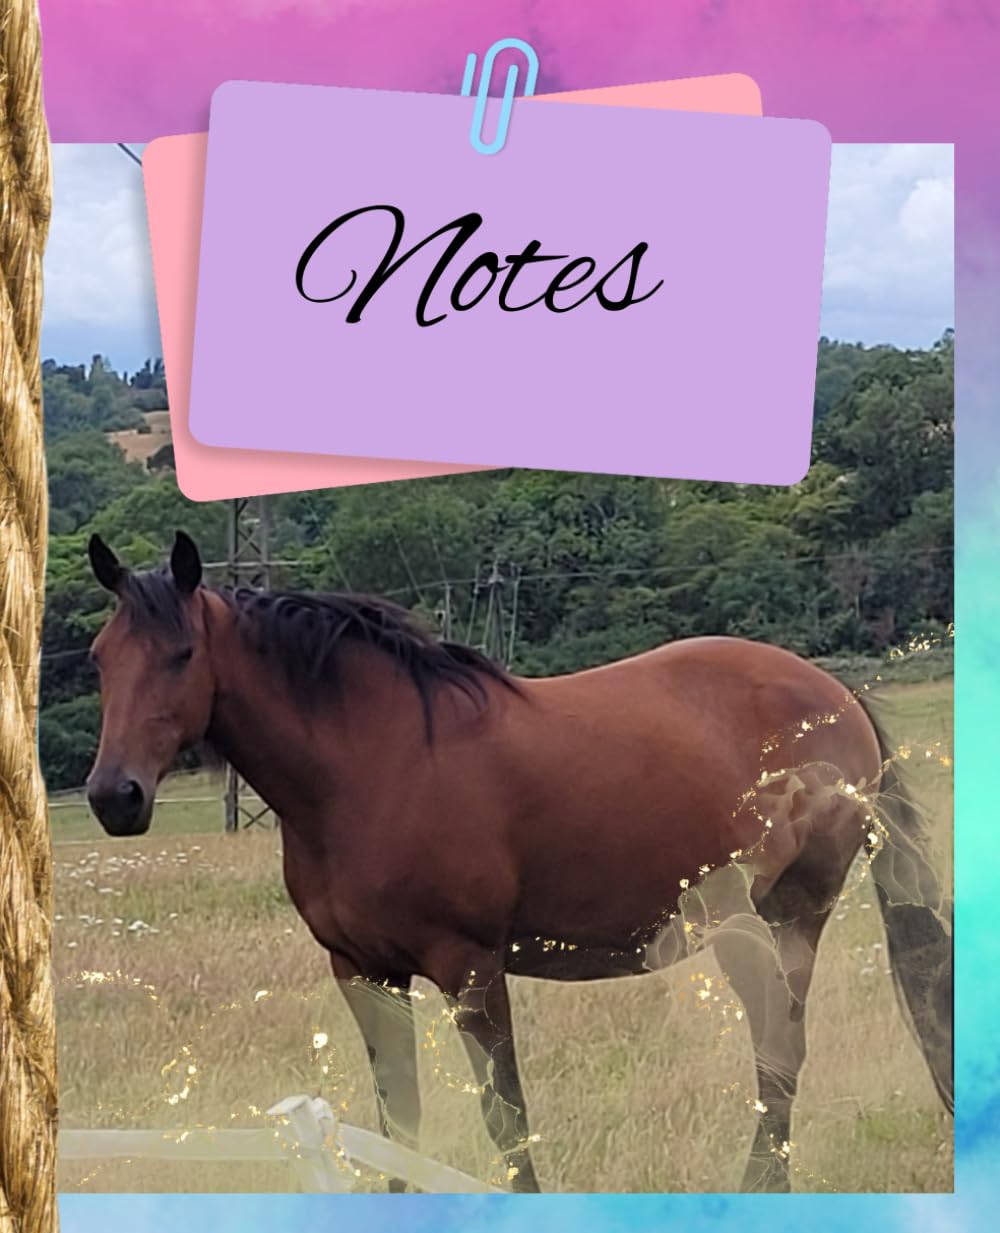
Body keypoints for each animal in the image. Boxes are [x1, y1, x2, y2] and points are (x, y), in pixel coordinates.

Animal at [83, 531, 953, 1193]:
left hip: (782, 914)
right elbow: (400, 1119)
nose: (114, 796)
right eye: (99, 656)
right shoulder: (364, 973)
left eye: (182, 653)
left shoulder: (469, 968)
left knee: (778, 1046)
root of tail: (833, 692)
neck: (375, 765)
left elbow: (506, 1118)